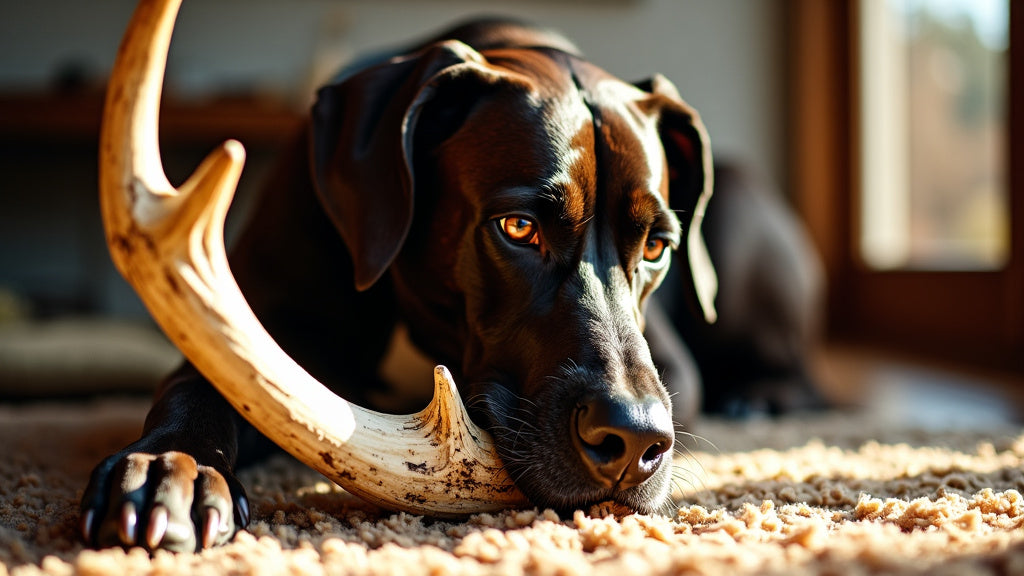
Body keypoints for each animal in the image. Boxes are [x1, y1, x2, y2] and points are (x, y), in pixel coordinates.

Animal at [77, 15, 823, 549]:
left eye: (657, 246)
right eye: (518, 228)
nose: (635, 441)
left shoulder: (670, 367)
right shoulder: (251, 336)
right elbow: (201, 386)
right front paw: (169, 468)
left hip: (745, 208)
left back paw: (763, 395)